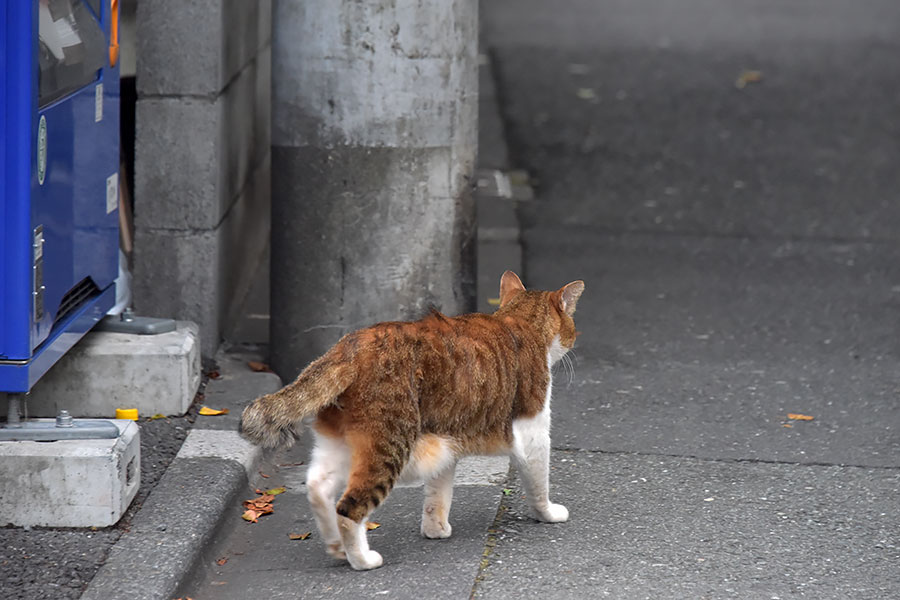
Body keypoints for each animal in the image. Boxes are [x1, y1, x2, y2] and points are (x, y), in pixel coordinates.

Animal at [239, 270, 584, 568]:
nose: (574, 339)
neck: (518, 320)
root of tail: (349, 347)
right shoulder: (532, 430)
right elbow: (538, 480)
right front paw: (547, 513)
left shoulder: (447, 438)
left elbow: (438, 491)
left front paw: (435, 528)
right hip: (389, 444)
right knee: (349, 508)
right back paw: (361, 560)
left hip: (341, 443)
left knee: (317, 486)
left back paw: (336, 547)